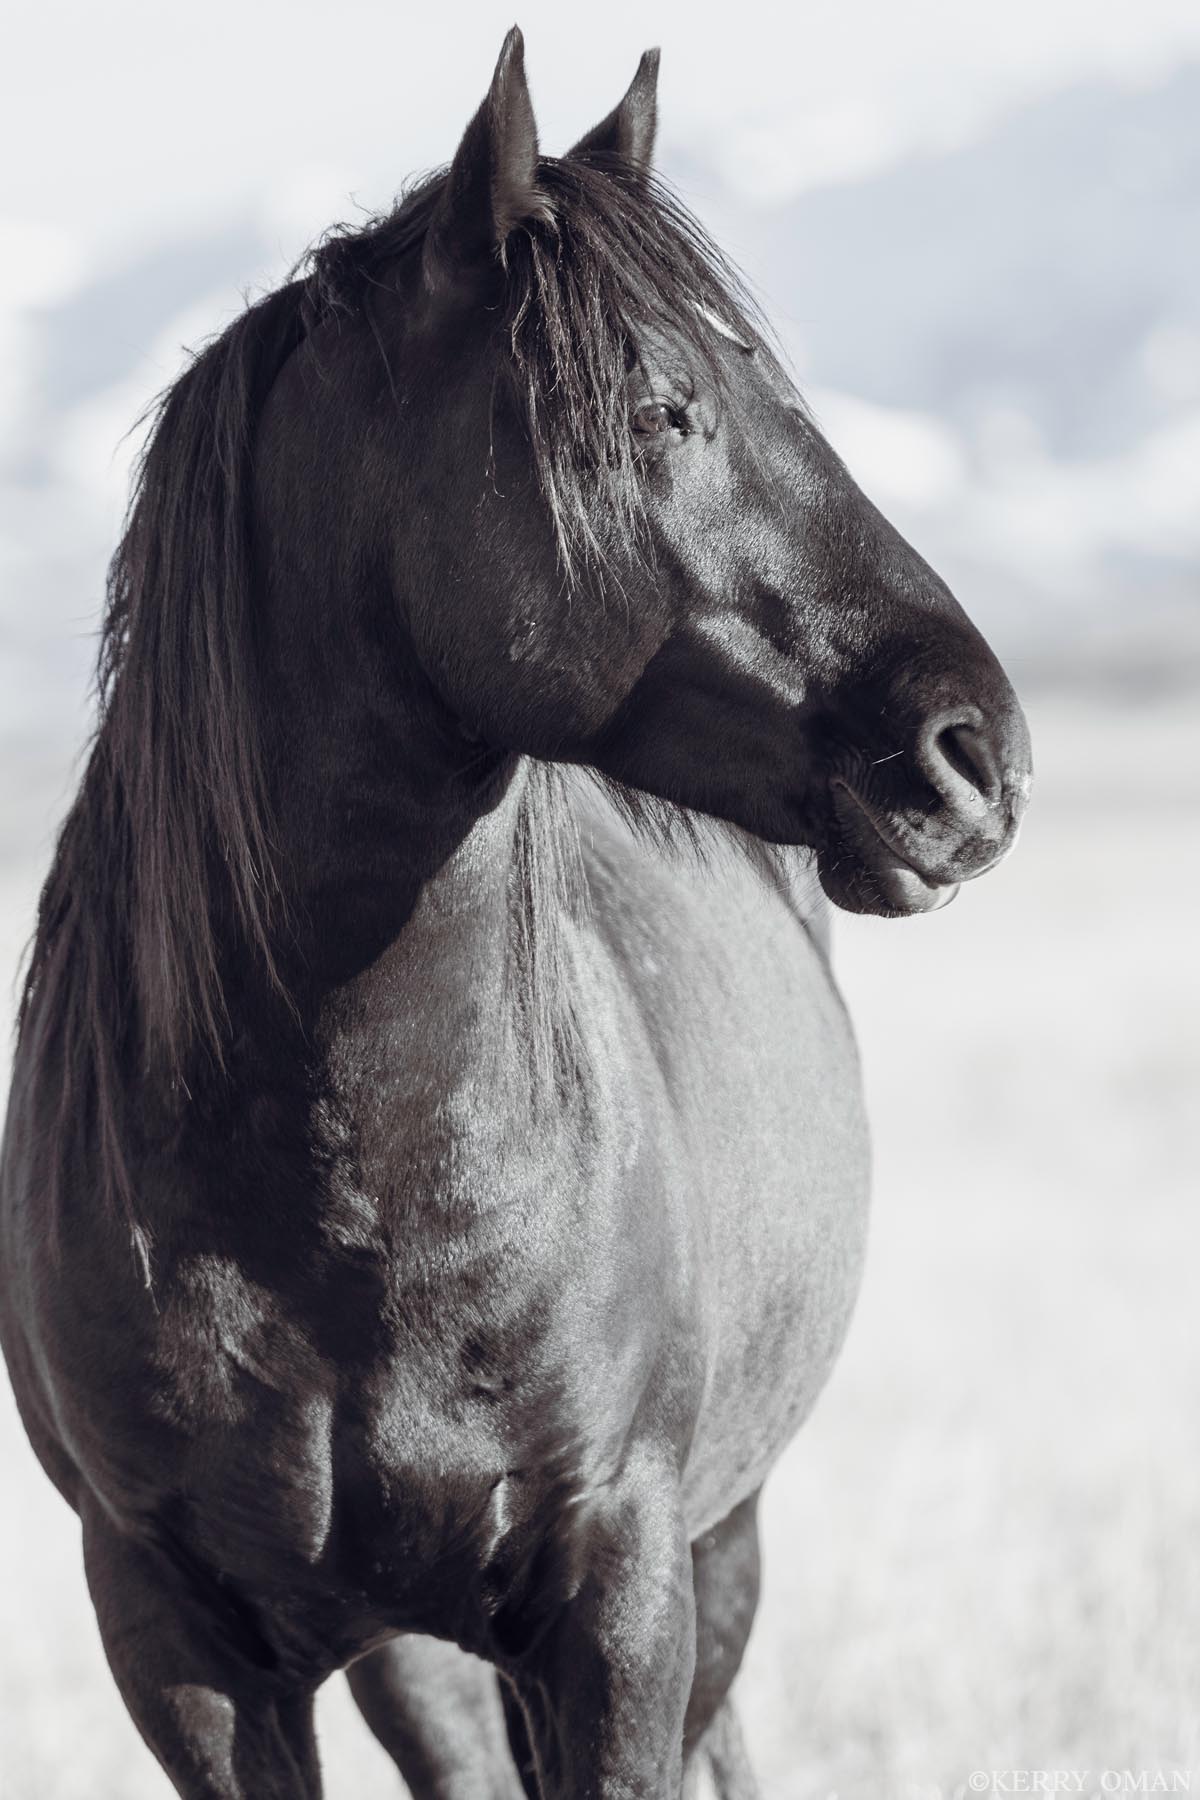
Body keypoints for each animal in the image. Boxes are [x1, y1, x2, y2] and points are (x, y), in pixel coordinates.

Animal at [0, 29, 1031, 1800]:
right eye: (655, 409)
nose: (976, 754)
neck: (343, 1191)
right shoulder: (180, 1644)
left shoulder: (619, 1593)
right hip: (415, 1648)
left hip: (723, 1548)